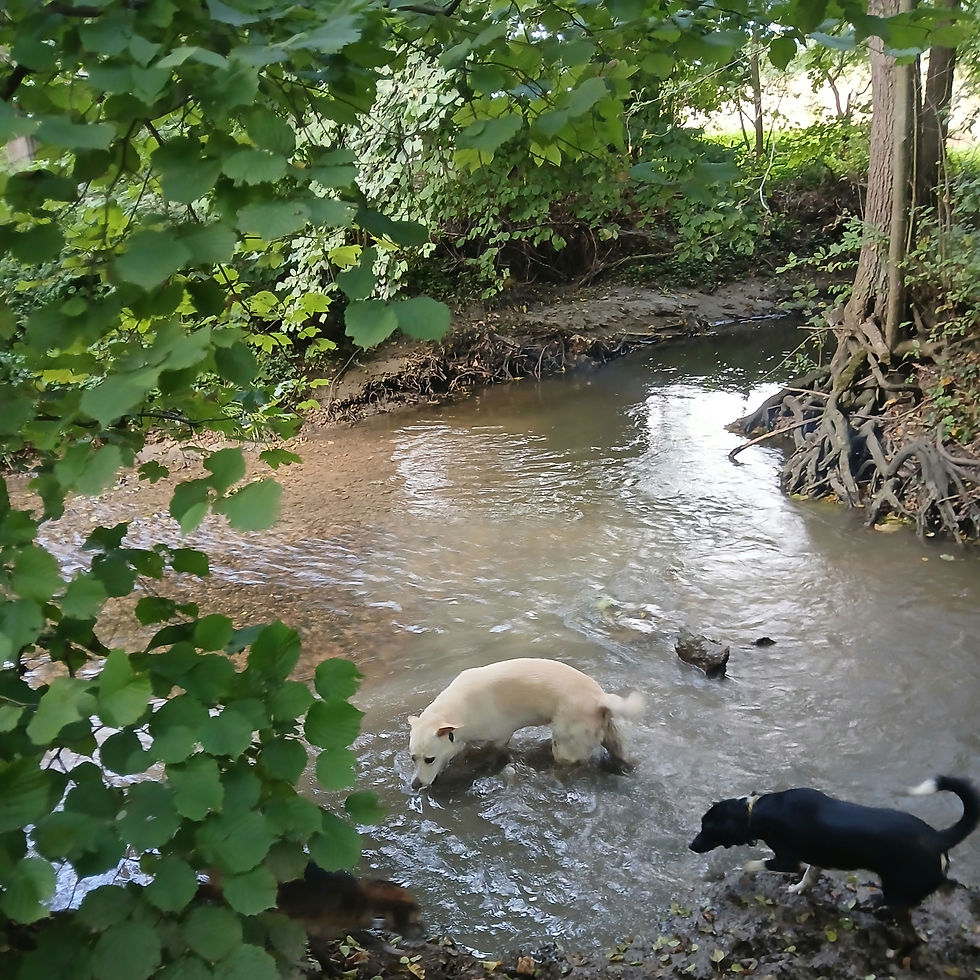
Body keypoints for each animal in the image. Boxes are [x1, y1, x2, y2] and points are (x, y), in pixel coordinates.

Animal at [407, 657, 644, 788]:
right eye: (413, 758)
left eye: (429, 759)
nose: (415, 785)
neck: (456, 712)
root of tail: (600, 700)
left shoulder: (499, 736)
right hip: (612, 738)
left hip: (565, 745)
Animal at [689, 774, 979, 938]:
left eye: (706, 828)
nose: (691, 846)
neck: (755, 811)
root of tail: (938, 837)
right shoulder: (815, 857)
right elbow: (809, 875)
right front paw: (798, 888)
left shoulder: (787, 859)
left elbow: (752, 864)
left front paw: (747, 875)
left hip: (898, 887)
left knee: (900, 909)